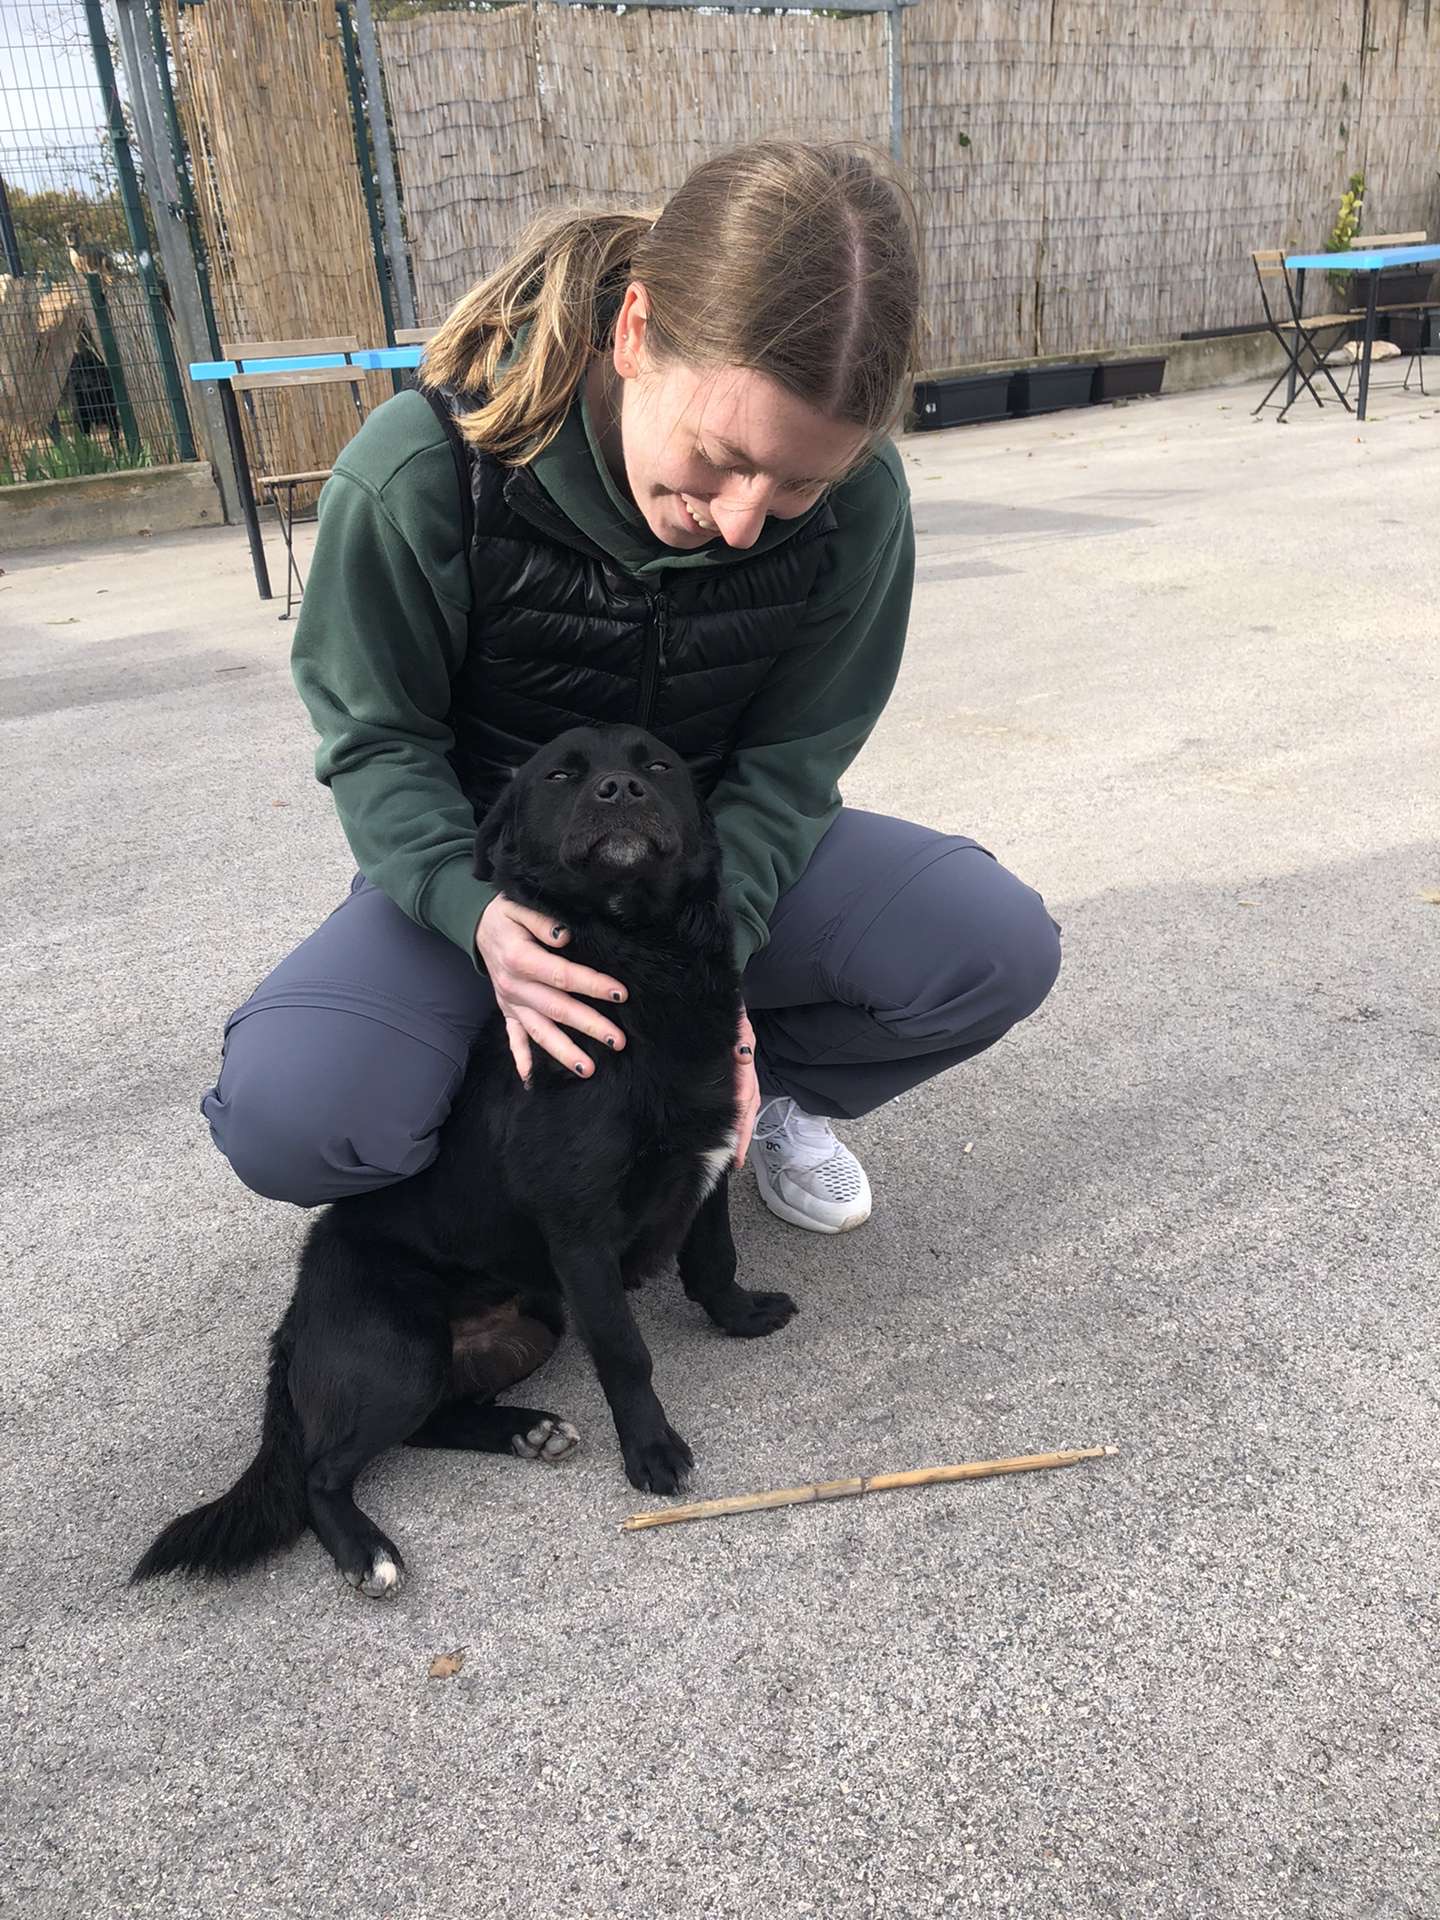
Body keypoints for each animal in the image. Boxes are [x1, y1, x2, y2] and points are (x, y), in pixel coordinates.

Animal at [134, 725, 802, 1597]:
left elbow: (714, 1260)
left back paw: (526, 1431)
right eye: (560, 775)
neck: (642, 960)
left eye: (657, 764)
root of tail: (294, 1319)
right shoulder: (579, 1231)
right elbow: (627, 1351)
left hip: (531, 1328)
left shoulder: (708, 1162)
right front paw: (651, 1451)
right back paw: (366, 1552)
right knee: (320, 1471)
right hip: (403, 1353)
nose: (620, 790)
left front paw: (741, 1317)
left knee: (432, 1424)